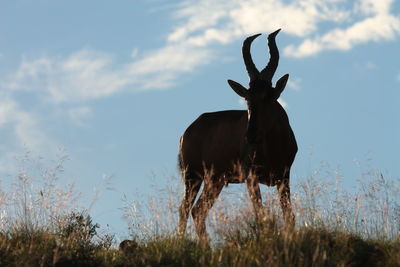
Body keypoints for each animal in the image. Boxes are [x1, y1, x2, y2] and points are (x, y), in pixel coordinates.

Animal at [178, 29, 296, 243]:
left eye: (269, 96)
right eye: (247, 97)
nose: (250, 136)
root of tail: (187, 132)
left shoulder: (284, 178)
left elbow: (289, 215)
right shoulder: (251, 178)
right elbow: (261, 215)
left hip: (214, 181)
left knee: (198, 210)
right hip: (192, 177)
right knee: (185, 209)